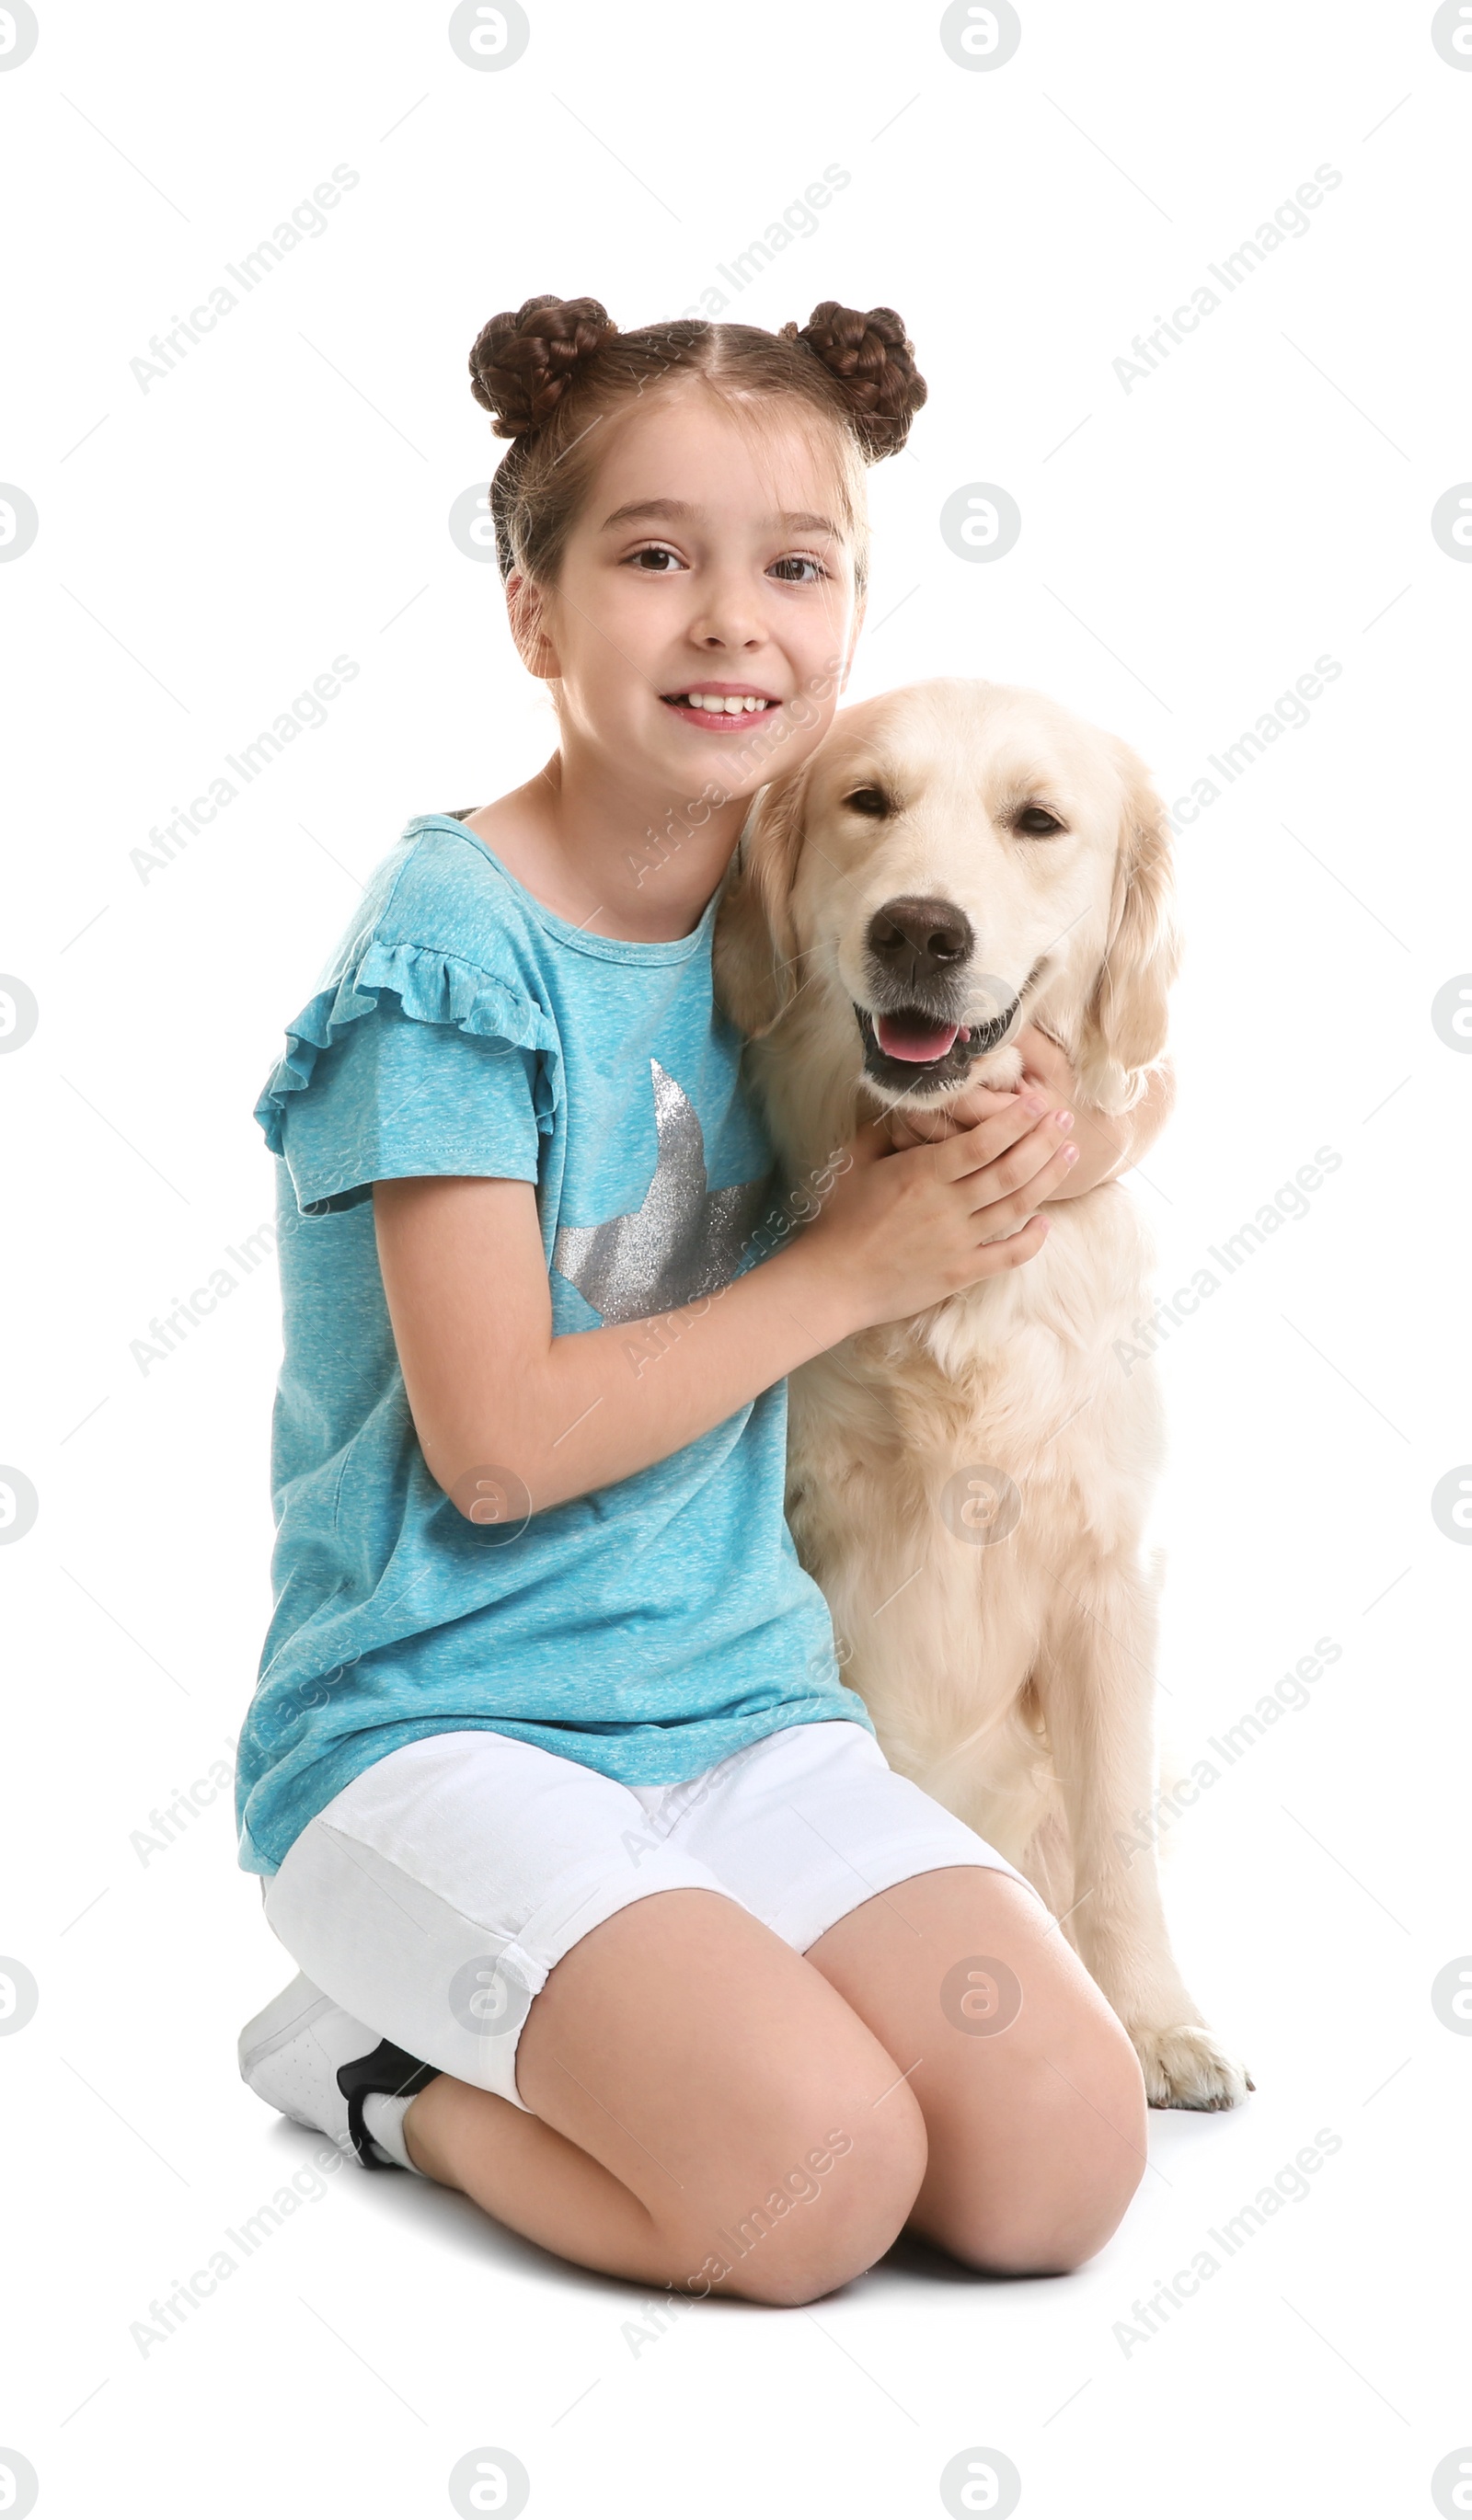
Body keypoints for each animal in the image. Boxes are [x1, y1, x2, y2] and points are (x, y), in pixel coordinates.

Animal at [720, 680, 1249, 2116]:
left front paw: (1157, 2025)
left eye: (1038, 822)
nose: (919, 929)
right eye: (867, 801)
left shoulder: (1113, 1572)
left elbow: (1120, 1843)